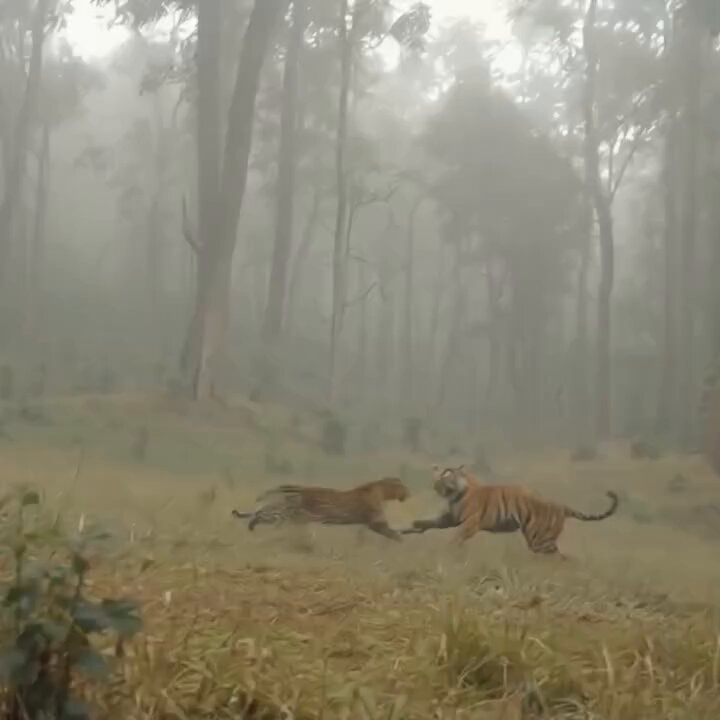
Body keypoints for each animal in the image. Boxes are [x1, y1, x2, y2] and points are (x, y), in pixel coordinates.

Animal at [231, 477, 409, 541]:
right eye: (404, 487)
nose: (409, 493)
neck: (384, 492)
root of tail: (280, 487)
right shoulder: (376, 522)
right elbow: (393, 532)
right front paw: (401, 539)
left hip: (284, 514)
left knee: (255, 512)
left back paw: (242, 518)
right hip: (281, 514)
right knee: (259, 515)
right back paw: (250, 525)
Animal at [401, 464, 618, 556]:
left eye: (447, 479)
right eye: (437, 480)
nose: (438, 488)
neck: (456, 494)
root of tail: (561, 505)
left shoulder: (470, 523)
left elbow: (457, 537)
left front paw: (448, 550)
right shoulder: (451, 517)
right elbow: (429, 522)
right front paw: (409, 527)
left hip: (539, 539)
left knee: (561, 558)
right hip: (542, 540)